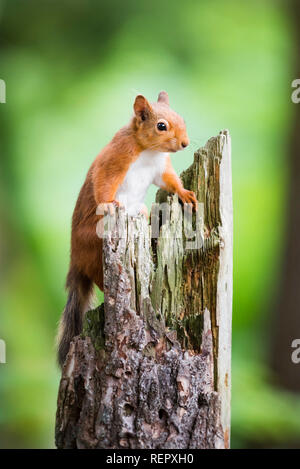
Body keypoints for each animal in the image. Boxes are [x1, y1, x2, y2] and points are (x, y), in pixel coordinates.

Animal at [56, 91, 197, 368]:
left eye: (183, 119)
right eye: (161, 126)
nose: (185, 143)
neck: (150, 152)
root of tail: (75, 258)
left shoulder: (161, 169)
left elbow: (170, 181)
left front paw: (185, 193)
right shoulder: (116, 158)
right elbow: (103, 181)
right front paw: (110, 204)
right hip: (93, 244)